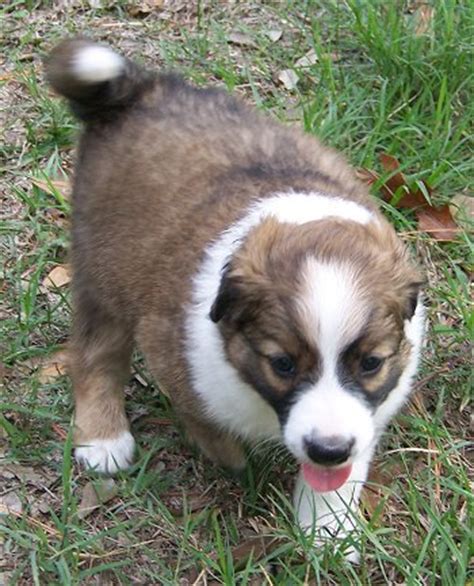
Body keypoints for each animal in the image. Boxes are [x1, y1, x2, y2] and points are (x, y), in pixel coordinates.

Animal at [46, 38, 424, 560]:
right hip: (103, 266)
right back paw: (103, 438)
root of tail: (139, 90)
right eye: (282, 364)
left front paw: (326, 529)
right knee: (95, 351)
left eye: (371, 363)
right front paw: (236, 461)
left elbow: (343, 472)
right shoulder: (178, 356)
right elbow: (208, 425)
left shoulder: (370, 411)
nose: (328, 449)